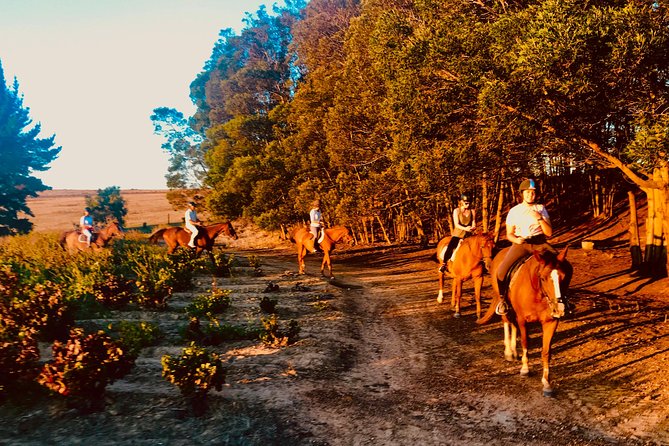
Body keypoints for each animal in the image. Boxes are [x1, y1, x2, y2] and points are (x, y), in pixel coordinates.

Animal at [474, 244, 576, 398]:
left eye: (565, 277)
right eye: (543, 278)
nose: (559, 309)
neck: (538, 293)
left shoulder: (551, 323)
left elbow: (546, 351)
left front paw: (546, 383)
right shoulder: (523, 320)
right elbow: (525, 341)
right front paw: (525, 369)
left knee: (513, 324)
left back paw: (514, 351)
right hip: (504, 303)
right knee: (506, 321)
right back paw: (509, 352)